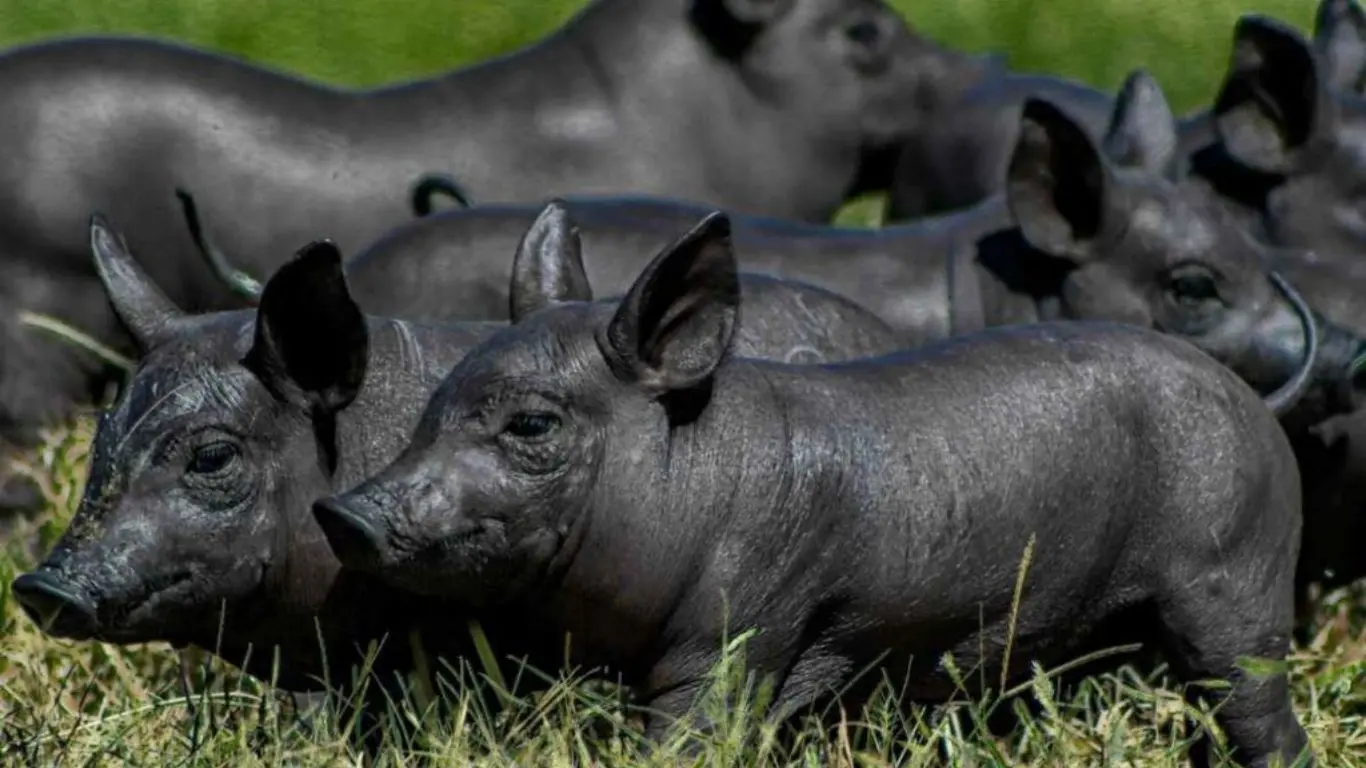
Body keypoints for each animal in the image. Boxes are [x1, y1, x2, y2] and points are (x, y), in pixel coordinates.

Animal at [313, 209, 1316, 766]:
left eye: (530, 426)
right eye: (435, 408)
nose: (340, 510)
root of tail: (1257, 401)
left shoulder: (744, 622)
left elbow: (693, 728)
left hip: (1237, 576)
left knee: (1258, 704)